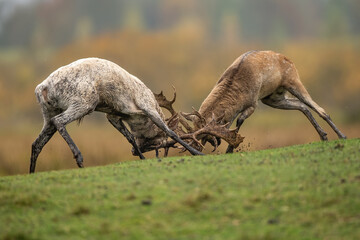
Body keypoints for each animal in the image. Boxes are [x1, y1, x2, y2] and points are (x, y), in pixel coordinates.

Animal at [187, 50, 344, 152]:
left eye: (207, 134)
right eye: (194, 128)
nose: (195, 149)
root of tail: (290, 60)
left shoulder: (253, 103)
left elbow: (239, 121)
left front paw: (231, 148)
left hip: (293, 80)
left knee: (320, 110)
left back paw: (341, 135)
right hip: (272, 98)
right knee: (301, 105)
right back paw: (323, 136)